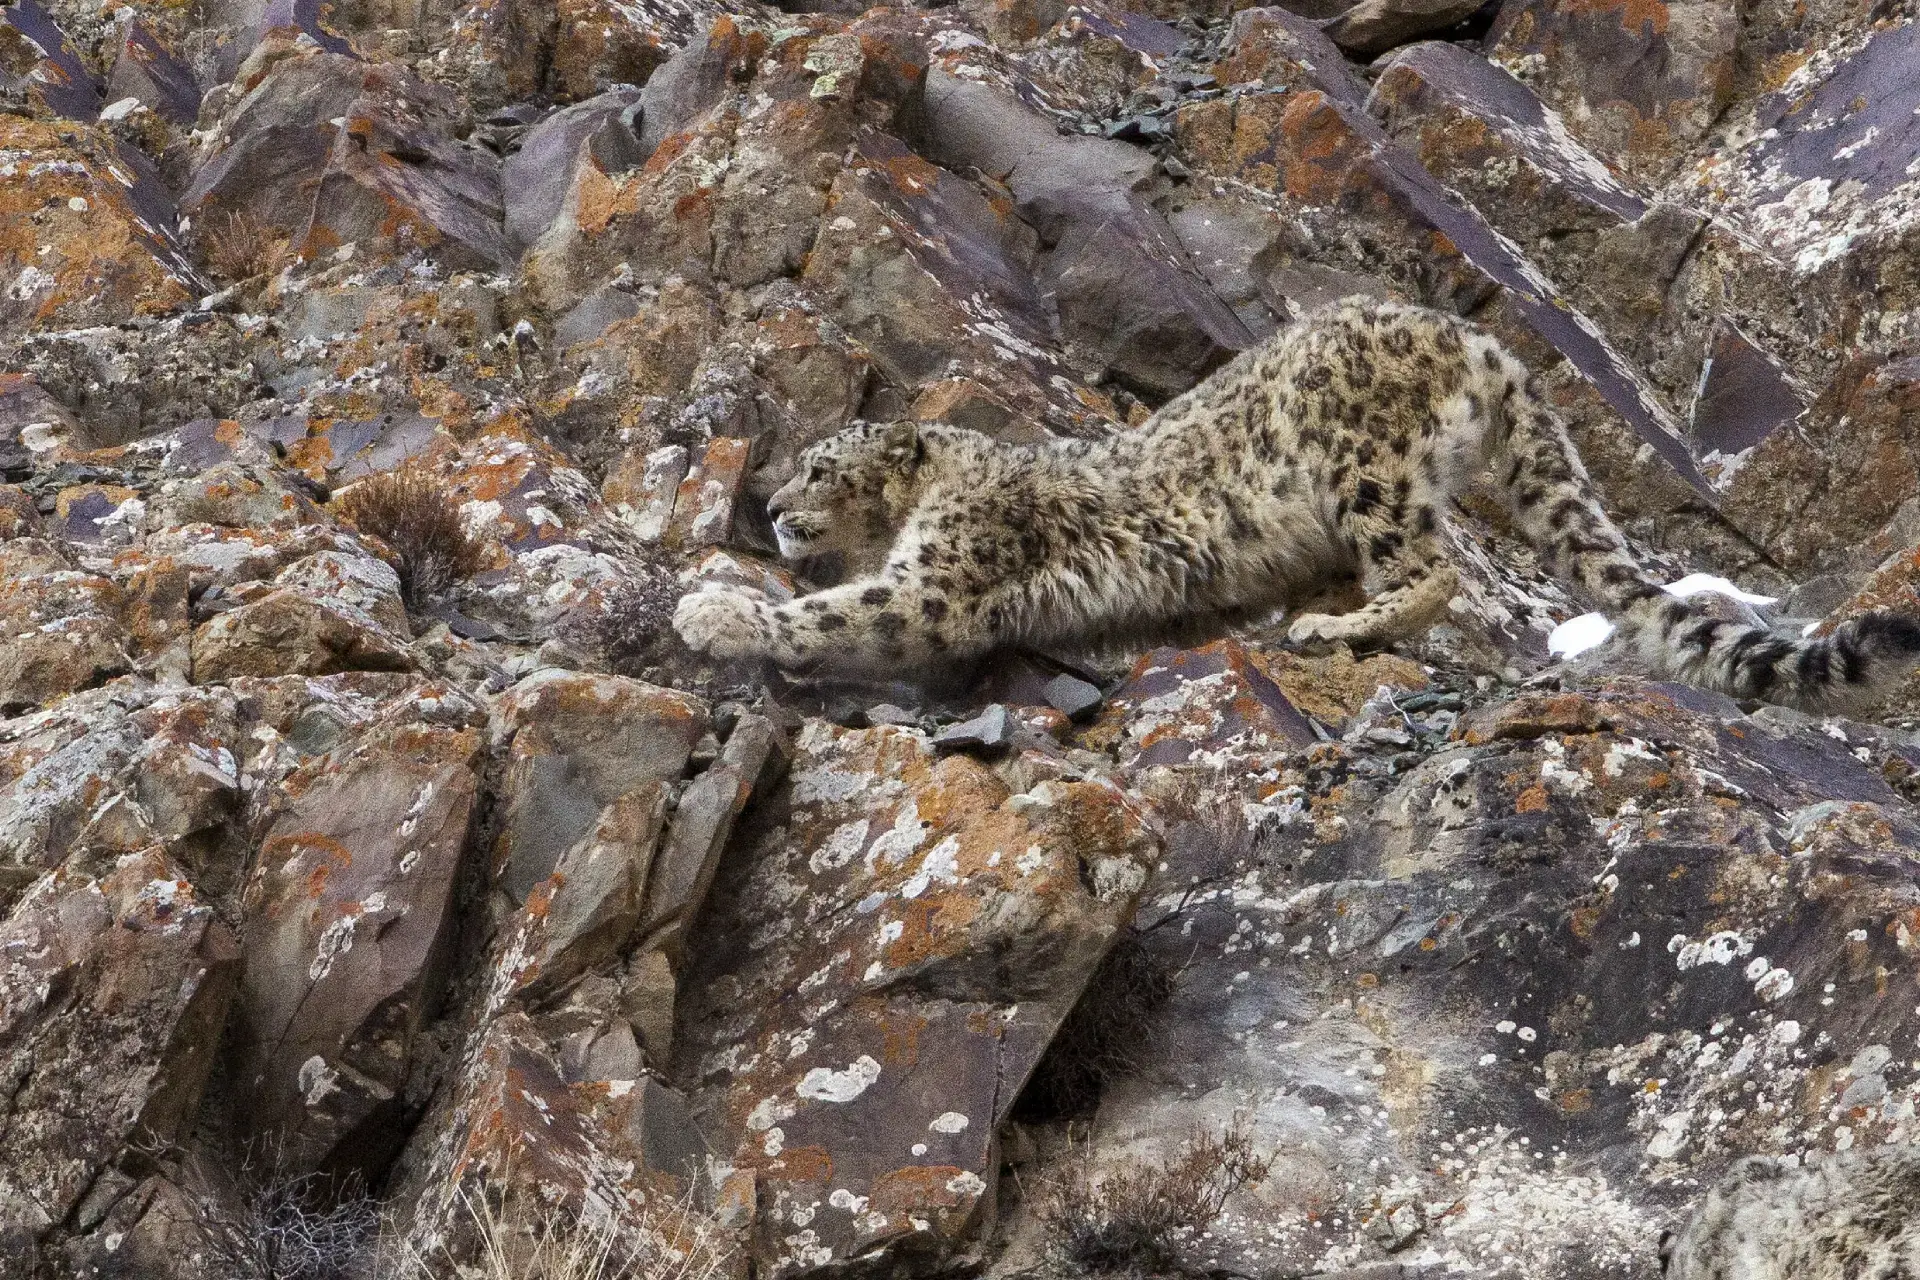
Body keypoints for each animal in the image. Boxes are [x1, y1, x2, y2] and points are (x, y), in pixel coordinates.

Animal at [672, 299, 1920, 710]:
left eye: (820, 467)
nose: (770, 507)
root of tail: (1476, 338)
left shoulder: (945, 579)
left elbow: (844, 614)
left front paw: (713, 611)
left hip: (1360, 468)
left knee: (1440, 570)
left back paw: (1331, 625)